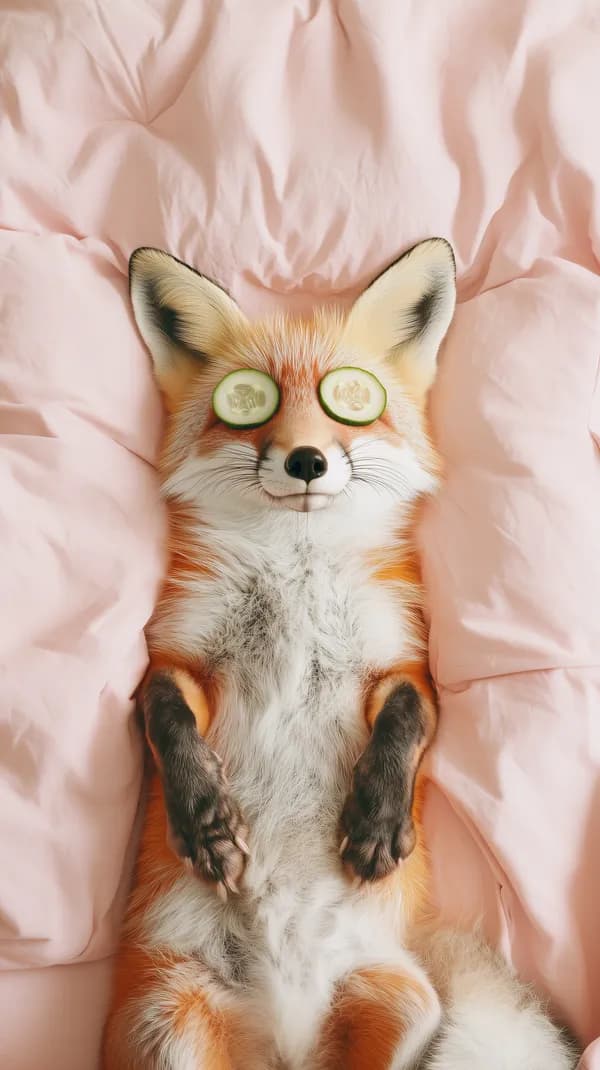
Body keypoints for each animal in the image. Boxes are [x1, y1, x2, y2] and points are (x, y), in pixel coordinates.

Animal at [102, 239, 578, 1070]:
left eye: (348, 399)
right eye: (248, 402)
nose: (305, 460)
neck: (296, 568)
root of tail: (285, 1046)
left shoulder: (401, 659)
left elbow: (407, 717)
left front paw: (377, 820)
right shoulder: (180, 655)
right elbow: (163, 716)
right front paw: (204, 821)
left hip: (406, 1003)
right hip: (169, 1024)